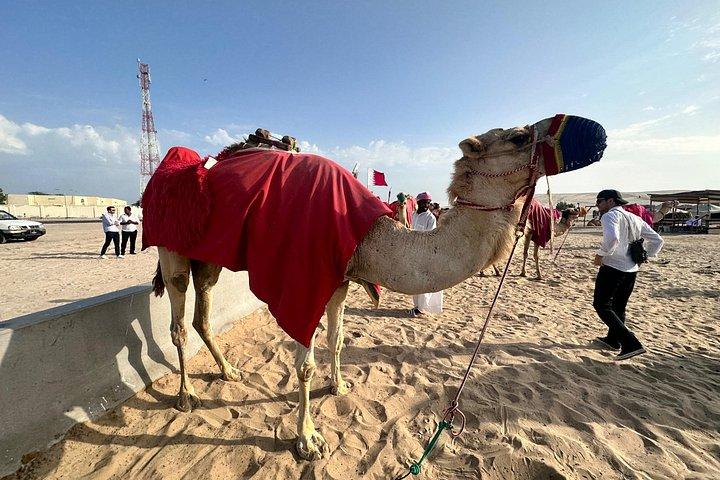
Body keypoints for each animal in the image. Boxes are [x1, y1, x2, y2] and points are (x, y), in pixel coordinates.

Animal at [149, 115, 605, 460]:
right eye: (519, 136)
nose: (598, 135)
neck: (367, 234)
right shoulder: (302, 280)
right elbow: (304, 364)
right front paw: (307, 440)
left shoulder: (338, 279)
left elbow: (335, 340)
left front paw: (338, 386)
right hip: (172, 245)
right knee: (179, 319)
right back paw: (187, 396)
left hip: (209, 255)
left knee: (204, 313)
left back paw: (229, 371)